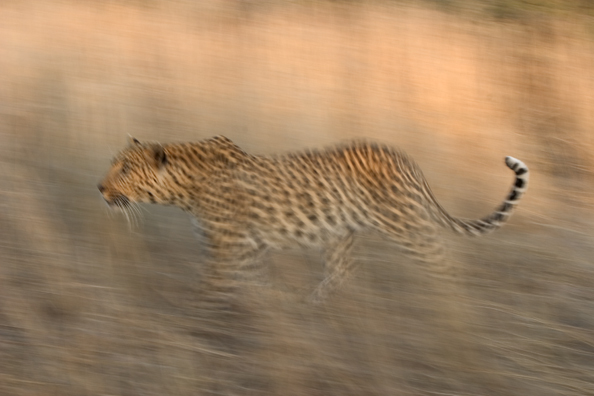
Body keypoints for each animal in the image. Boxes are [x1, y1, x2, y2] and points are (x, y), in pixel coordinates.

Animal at [97, 135, 528, 304]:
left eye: (125, 169)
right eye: (115, 165)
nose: (99, 187)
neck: (183, 189)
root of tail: (407, 160)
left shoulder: (228, 250)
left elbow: (208, 291)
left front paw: (190, 319)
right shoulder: (246, 250)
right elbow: (256, 284)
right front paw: (274, 304)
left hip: (408, 228)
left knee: (445, 266)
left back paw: (453, 309)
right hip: (341, 237)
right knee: (343, 275)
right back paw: (317, 306)